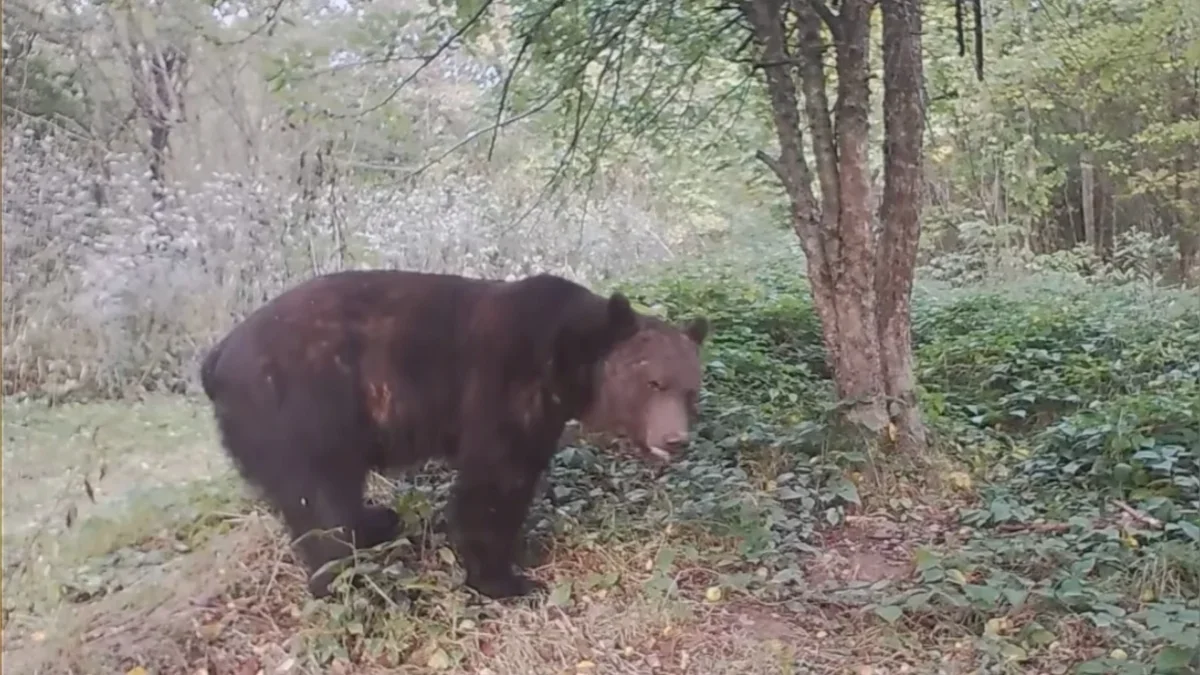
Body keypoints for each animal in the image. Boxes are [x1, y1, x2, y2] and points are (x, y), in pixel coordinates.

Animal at [200, 266, 705, 593]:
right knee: (322, 509)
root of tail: (216, 359)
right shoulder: (505, 385)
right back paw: (357, 585)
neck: (567, 361)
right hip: (299, 413)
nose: (674, 439)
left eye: (691, 390)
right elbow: (493, 483)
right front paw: (506, 579)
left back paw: (377, 522)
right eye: (654, 382)